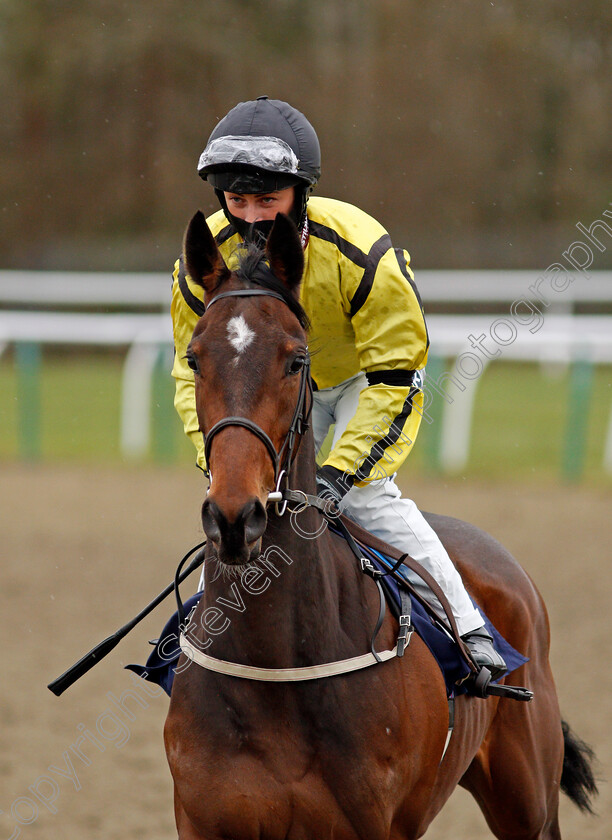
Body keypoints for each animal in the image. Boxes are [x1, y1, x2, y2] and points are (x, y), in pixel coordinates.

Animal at [164, 210, 596, 840]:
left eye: (296, 360)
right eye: (194, 358)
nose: (235, 516)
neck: (276, 666)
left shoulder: (372, 823)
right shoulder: (204, 818)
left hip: (529, 801)